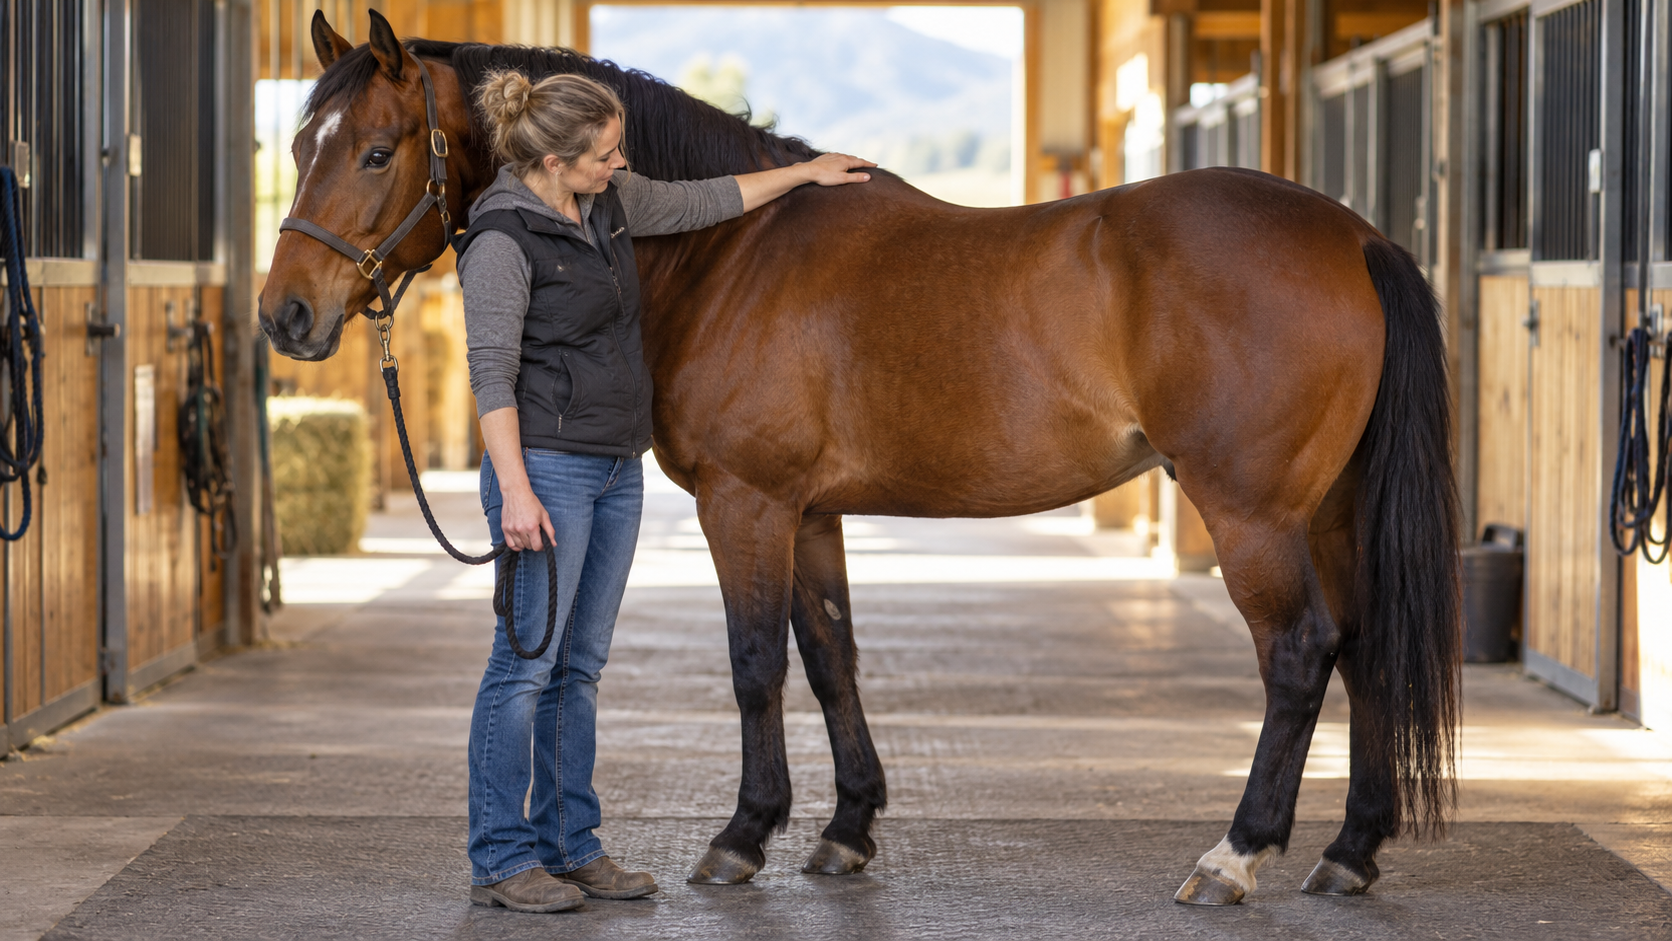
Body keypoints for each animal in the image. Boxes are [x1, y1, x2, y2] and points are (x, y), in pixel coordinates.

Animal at [260, 10, 1461, 905]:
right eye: (297, 146)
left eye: (376, 150)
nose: (286, 316)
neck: (727, 253)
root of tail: (1356, 235)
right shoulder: (812, 513)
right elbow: (831, 654)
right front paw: (845, 827)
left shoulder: (744, 504)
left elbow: (754, 663)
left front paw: (742, 835)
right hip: (1331, 511)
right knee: (1364, 649)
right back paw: (1348, 851)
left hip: (1253, 512)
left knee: (1300, 653)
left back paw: (1235, 854)